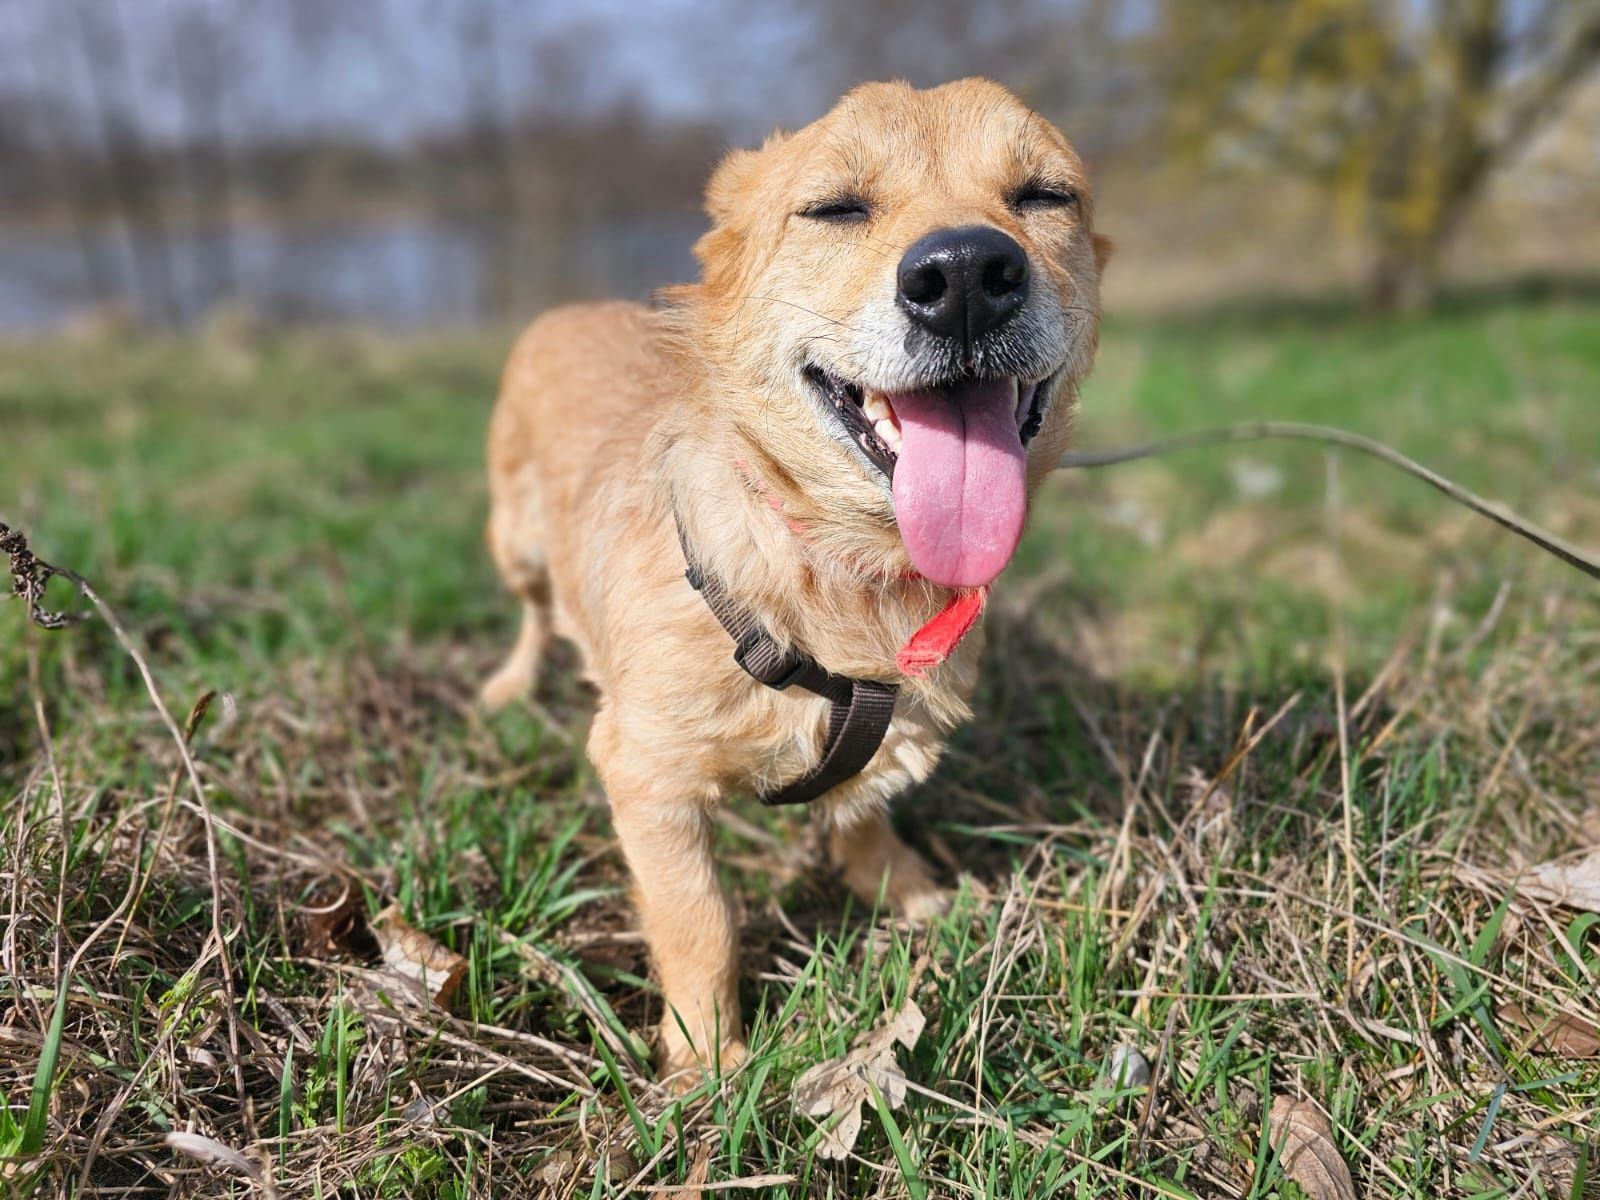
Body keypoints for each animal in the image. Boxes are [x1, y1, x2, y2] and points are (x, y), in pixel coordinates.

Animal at [480, 80, 1107, 1088]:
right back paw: (510, 683)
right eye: (835, 208)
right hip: (516, 541)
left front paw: (903, 886)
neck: (838, 569)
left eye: (1044, 196)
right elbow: (700, 922)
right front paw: (708, 1063)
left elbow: (869, 806)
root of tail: (565, 308)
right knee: (536, 614)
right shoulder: (647, 778)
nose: (968, 273)